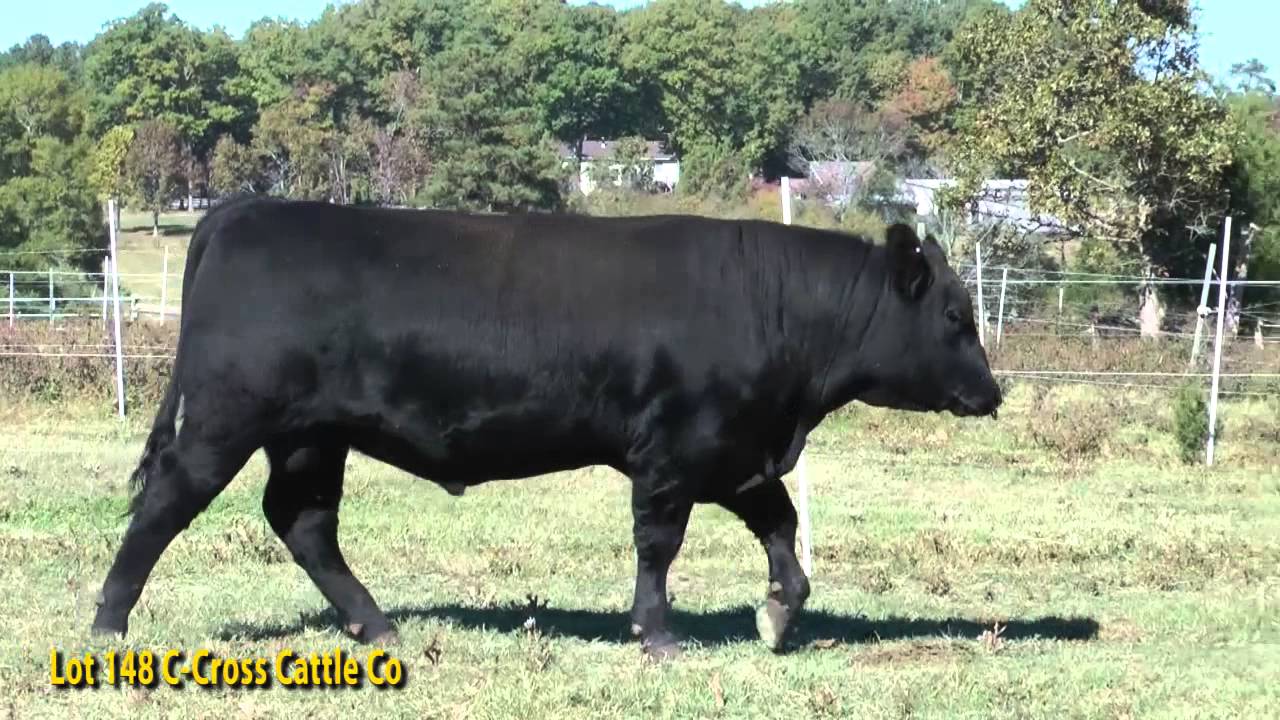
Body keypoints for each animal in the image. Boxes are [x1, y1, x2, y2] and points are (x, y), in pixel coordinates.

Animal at [91, 196, 1001, 659]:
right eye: (956, 316)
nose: (993, 393)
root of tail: (245, 209)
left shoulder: (736, 450)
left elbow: (780, 525)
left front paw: (779, 615)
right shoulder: (673, 450)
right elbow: (659, 544)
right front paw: (658, 636)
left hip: (313, 434)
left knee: (303, 521)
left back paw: (376, 625)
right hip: (227, 417)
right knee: (165, 503)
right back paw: (108, 625)